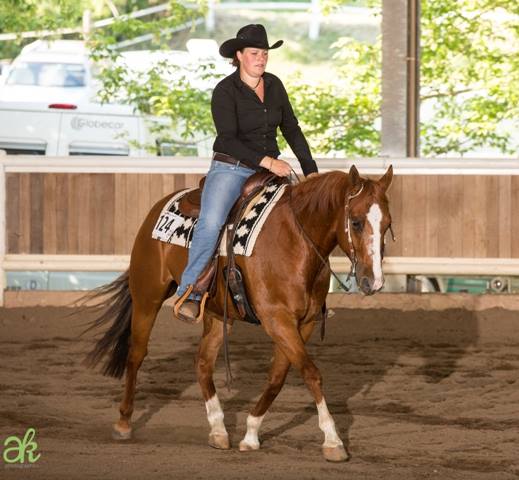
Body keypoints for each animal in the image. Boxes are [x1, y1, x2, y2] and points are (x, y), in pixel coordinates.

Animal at [85, 165, 394, 462]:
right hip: (147, 298)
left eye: (388, 224)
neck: (296, 242)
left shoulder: (302, 324)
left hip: (215, 315)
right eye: (356, 222)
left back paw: (219, 430)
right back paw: (124, 423)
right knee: (136, 355)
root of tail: (158, 209)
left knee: (203, 362)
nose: (374, 282)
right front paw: (333, 440)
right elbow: (311, 373)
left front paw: (250, 434)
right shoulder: (277, 320)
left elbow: (277, 377)